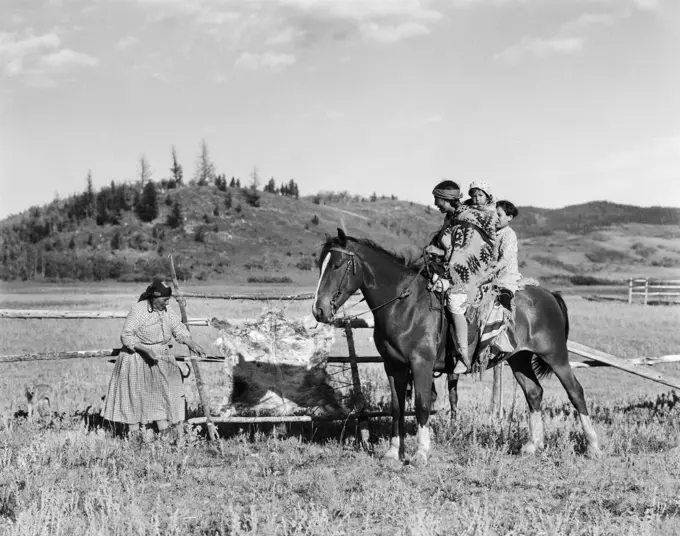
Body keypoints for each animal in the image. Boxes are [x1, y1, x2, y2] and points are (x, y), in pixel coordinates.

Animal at [314, 228, 600, 466]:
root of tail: (549, 295)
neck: (403, 305)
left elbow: (421, 404)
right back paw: (532, 446)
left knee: (575, 392)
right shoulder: (393, 366)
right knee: (534, 393)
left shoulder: (421, 364)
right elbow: (397, 407)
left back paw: (592, 446)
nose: (319, 310)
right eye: (320, 265)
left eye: (337, 265)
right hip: (518, 358)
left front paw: (421, 453)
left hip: (555, 355)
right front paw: (393, 452)